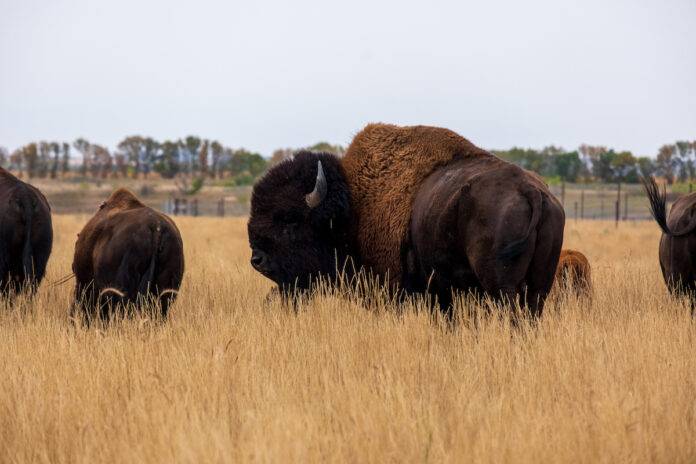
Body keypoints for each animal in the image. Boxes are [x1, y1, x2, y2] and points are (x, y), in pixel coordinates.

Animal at [249, 124, 565, 317]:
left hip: (502, 288)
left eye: (290, 220)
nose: (257, 259)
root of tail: (532, 192)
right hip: (539, 287)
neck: (353, 207)